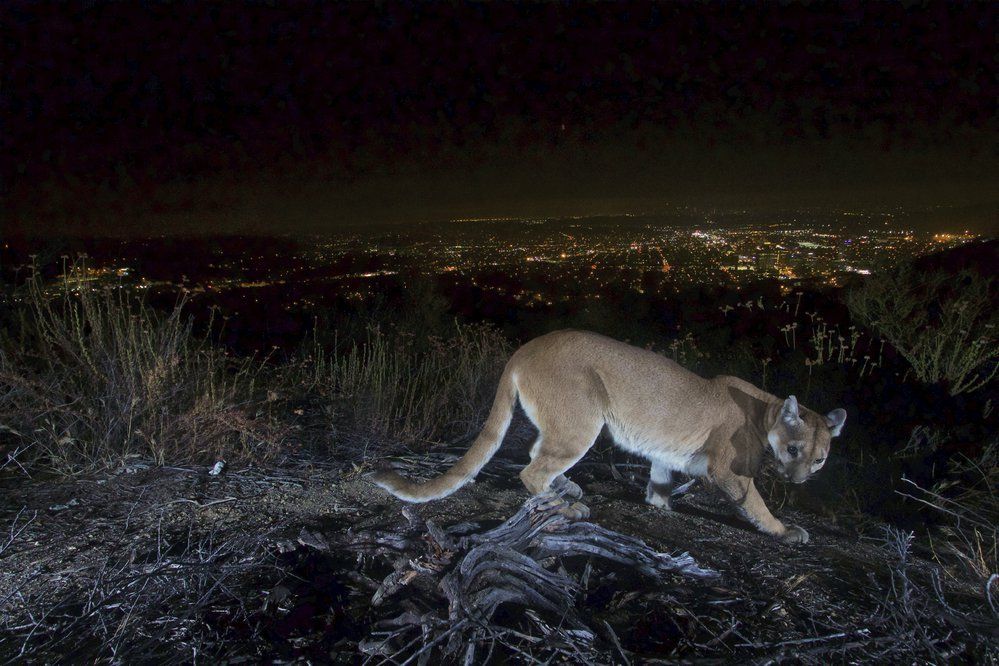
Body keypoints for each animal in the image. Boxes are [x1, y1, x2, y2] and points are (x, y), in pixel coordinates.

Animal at [372, 330, 848, 544]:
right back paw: (567, 504)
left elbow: (660, 479)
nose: (800, 480)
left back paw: (567, 487)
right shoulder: (728, 470)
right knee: (532, 469)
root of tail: (525, 348)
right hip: (583, 421)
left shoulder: (665, 453)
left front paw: (661, 505)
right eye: (794, 449)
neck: (766, 410)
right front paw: (784, 530)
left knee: (536, 452)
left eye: (820, 458)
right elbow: (755, 503)